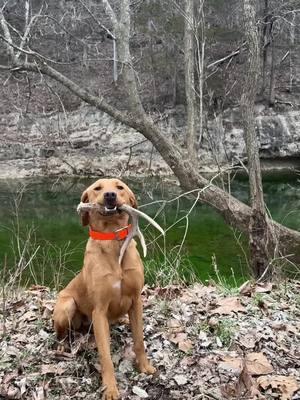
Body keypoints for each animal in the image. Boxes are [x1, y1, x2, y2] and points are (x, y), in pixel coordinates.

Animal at [53, 179, 156, 400]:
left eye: (120, 187)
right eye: (97, 188)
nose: (110, 195)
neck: (113, 242)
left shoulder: (136, 300)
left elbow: (139, 340)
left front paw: (144, 367)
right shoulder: (99, 310)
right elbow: (105, 356)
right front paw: (110, 389)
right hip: (67, 306)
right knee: (62, 334)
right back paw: (63, 346)